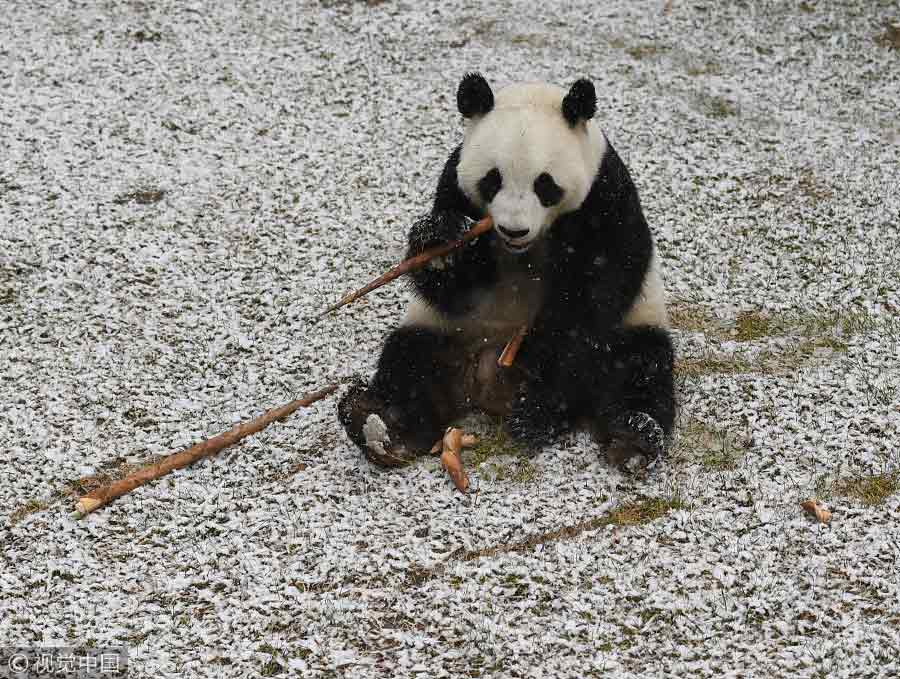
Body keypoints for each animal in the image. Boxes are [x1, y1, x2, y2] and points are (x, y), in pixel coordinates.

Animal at [340, 71, 676, 470]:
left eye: (545, 185)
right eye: (492, 180)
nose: (514, 230)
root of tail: (487, 387)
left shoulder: (605, 198)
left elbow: (588, 303)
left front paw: (537, 410)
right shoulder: (455, 187)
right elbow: (454, 289)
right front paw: (440, 244)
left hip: (635, 325)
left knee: (639, 368)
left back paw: (633, 436)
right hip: (445, 331)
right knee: (409, 361)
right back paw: (379, 427)